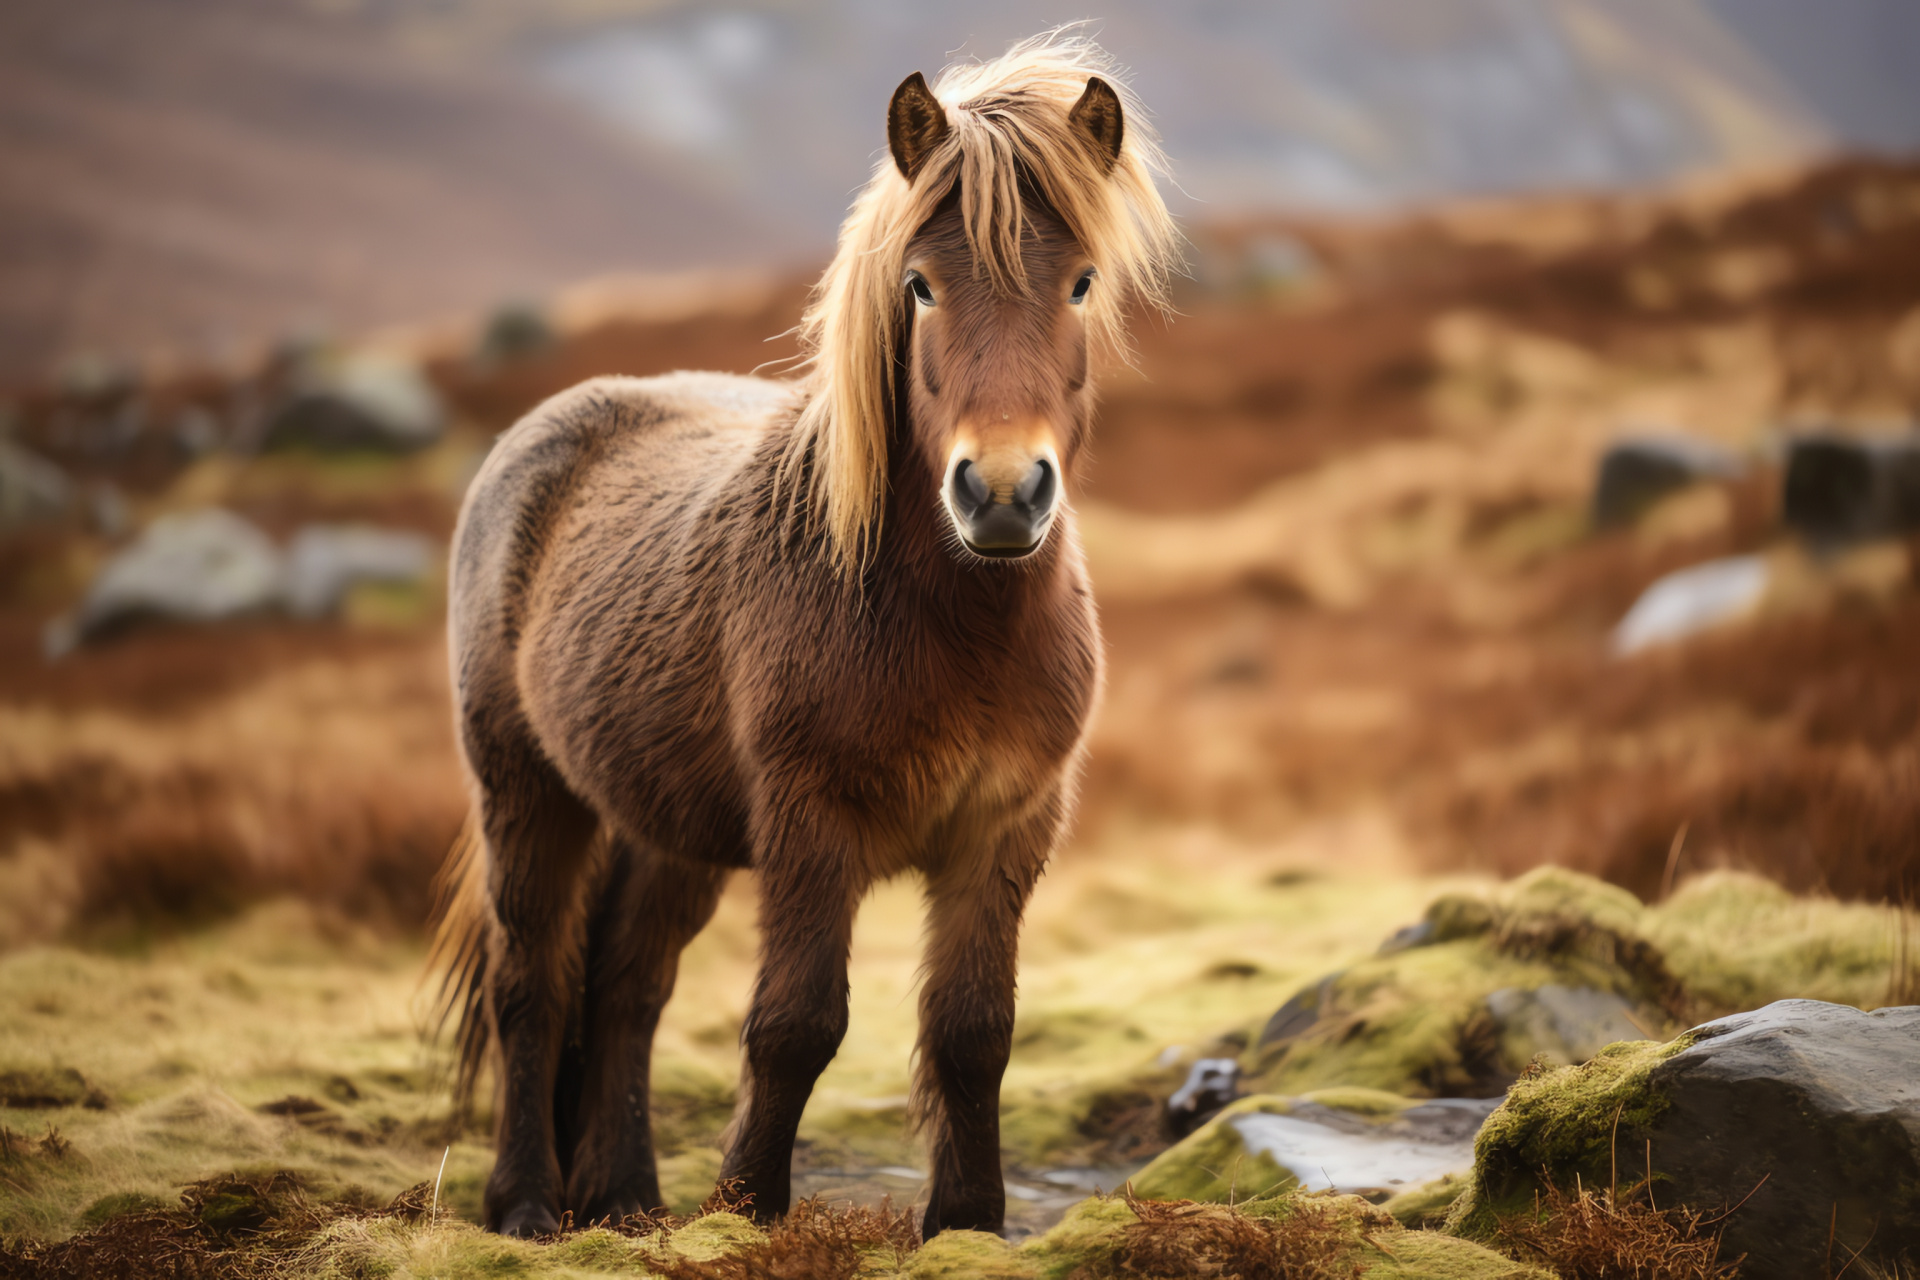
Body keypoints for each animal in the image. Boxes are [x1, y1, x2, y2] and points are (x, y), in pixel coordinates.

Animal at [435, 32, 1175, 1243]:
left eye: (1081, 281)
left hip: (666, 829)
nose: (1002, 493)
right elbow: (794, 1025)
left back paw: (626, 1199)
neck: (948, 620)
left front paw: (967, 1223)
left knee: (626, 988)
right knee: (531, 981)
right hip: (527, 791)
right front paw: (745, 1211)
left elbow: (975, 1032)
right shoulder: (810, 827)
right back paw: (530, 1205)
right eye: (920, 285)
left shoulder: (1005, 828)